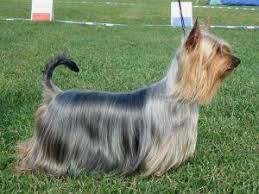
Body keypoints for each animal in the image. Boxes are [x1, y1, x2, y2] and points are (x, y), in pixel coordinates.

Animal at [17, 19, 242, 176]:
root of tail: (55, 94)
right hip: (56, 143)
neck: (177, 96)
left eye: (226, 49)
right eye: (217, 51)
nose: (238, 60)